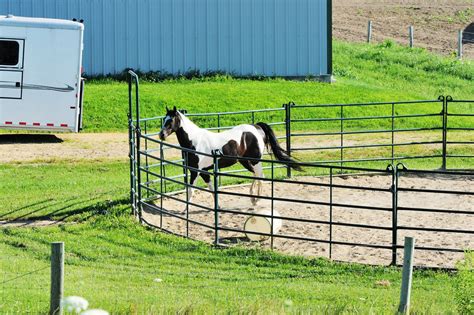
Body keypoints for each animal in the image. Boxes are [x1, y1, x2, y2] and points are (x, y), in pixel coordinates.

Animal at [159, 107, 300, 206]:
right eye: (164, 119)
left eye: (171, 120)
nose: (161, 135)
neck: (194, 141)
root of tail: (256, 127)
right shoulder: (204, 171)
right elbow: (212, 189)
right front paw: (218, 207)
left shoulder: (195, 171)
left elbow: (190, 190)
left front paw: (185, 211)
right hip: (246, 161)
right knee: (256, 175)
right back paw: (252, 198)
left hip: (255, 160)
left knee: (260, 176)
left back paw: (257, 200)